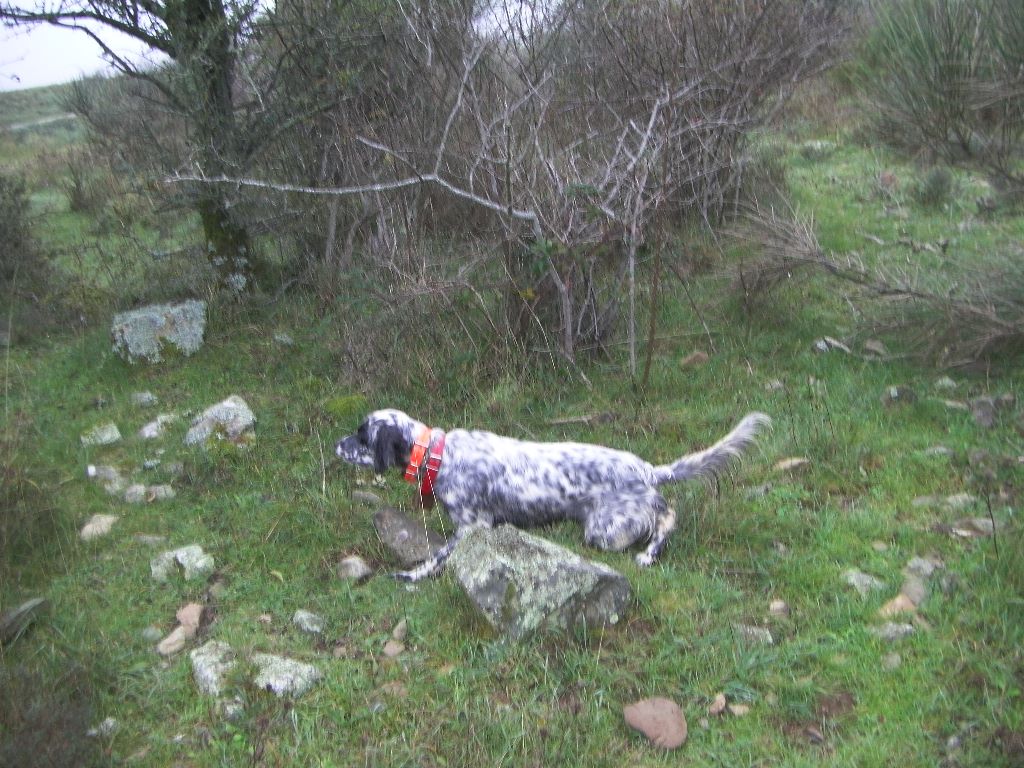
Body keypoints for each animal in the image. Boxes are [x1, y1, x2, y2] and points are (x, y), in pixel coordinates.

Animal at [335, 409, 770, 581]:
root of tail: (646, 468)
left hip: (606, 528)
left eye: (361, 435)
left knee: (666, 515)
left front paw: (413, 574)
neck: (439, 456)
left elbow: (440, 555)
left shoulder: (473, 525)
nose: (336, 444)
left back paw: (648, 554)